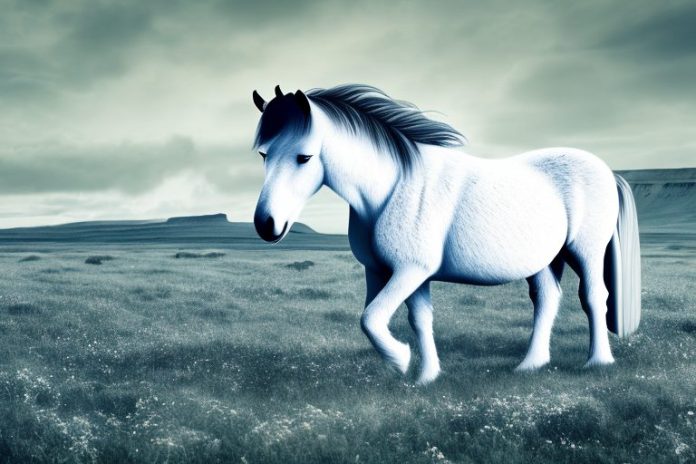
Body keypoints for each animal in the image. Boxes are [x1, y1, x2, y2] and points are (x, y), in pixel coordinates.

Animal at [250, 84, 641, 384]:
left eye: (303, 157)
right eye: (264, 155)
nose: (266, 224)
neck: (391, 189)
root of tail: (607, 170)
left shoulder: (409, 271)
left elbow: (372, 318)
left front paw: (401, 359)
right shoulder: (386, 272)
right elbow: (412, 320)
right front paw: (427, 376)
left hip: (586, 251)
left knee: (594, 296)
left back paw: (597, 362)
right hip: (545, 259)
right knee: (547, 300)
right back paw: (530, 365)